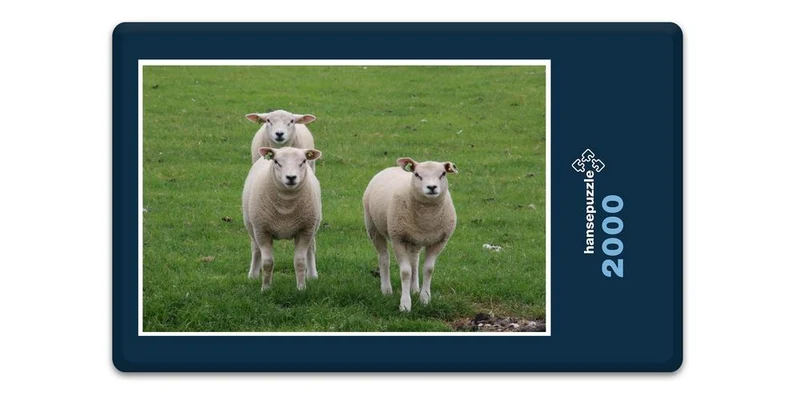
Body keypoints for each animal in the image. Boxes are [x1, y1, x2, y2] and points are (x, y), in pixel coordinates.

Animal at [242, 146, 323, 291]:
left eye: (303, 161)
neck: (286, 206)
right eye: (276, 161)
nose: (291, 177)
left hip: (314, 225)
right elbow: (267, 263)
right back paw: (253, 275)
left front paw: (301, 288)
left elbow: (300, 262)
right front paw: (266, 288)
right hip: (251, 225)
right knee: (255, 249)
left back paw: (313, 276)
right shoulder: (262, 231)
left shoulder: (305, 230)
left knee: (311, 248)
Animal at [362, 157, 459, 311]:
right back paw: (386, 289)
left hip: (415, 239)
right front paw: (405, 304)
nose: (432, 187)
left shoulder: (439, 241)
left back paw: (414, 289)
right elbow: (405, 272)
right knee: (384, 257)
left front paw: (425, 299)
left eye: (443, 174)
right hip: (373, 227)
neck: (427, 218)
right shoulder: (398, 239)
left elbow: (428, 269)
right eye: (417, 174)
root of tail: (391, 167)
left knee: (414, 261)